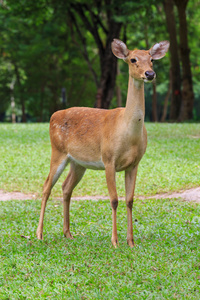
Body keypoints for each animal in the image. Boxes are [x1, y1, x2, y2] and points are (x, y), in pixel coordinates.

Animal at [36, 38, 169, 247]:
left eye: (152, 60)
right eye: (133, 59)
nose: (149, 74)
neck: (127, 132)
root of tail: (53, 115)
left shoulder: (135, 163)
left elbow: (129, 200)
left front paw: (131, 242)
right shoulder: (108, 159)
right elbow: (114, 199)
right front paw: (114, 241)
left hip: (78, 163)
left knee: (66, 187)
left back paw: (68, 233)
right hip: (57, 151)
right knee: (46, 186)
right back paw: (39, 234)